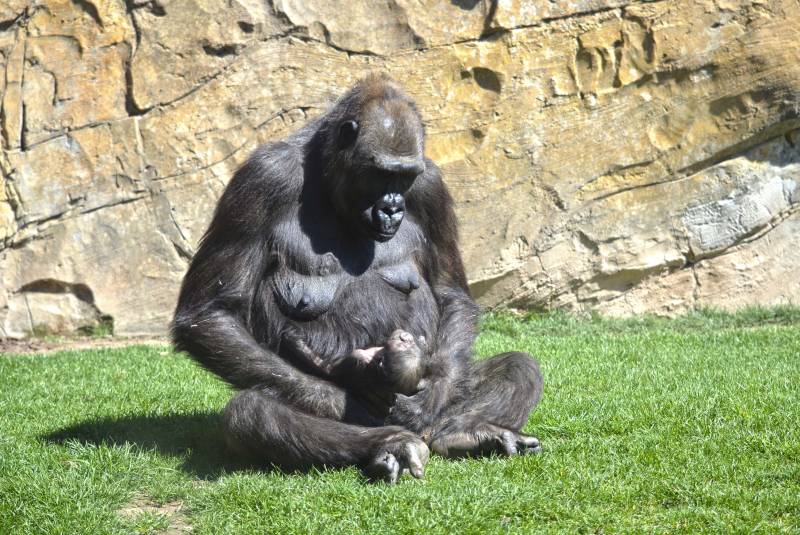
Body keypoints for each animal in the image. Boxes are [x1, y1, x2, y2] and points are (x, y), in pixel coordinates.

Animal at [171, 74, 540, 482]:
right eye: (382, 174)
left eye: (405, 176)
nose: (392, 208)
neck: (325, 175)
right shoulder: (262, 179)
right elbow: (211, 313)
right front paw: (354, 399)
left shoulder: (431, 186)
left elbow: (450, 294)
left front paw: (427, 398)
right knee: (251, 411)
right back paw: (389, 443)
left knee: (519, 367)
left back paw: (463, 434)